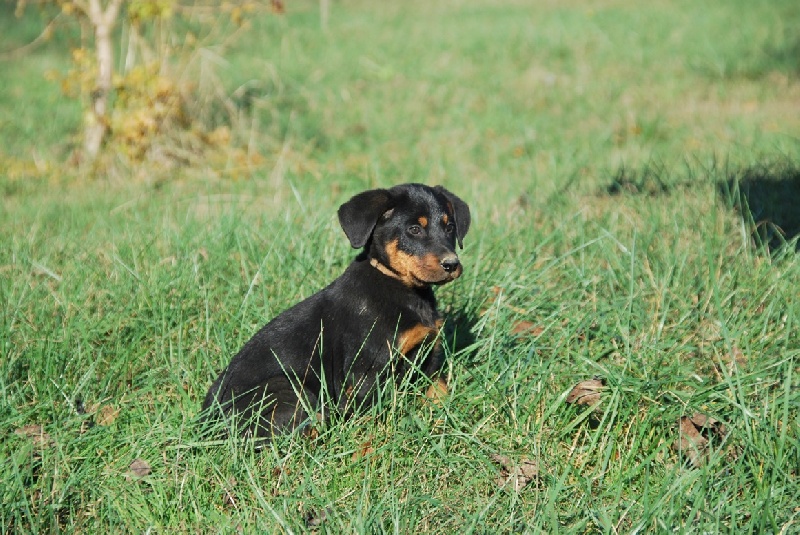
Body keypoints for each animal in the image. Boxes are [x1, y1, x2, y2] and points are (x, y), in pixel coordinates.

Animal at [201, 183, 471, 439]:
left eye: (449, 228)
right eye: (414, 229)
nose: (451, 264)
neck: (404, 288)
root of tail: (205, 426)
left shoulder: (429, 357)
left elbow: (440, 391)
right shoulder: (369, 369)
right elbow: (372, 414)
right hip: (288, 386)